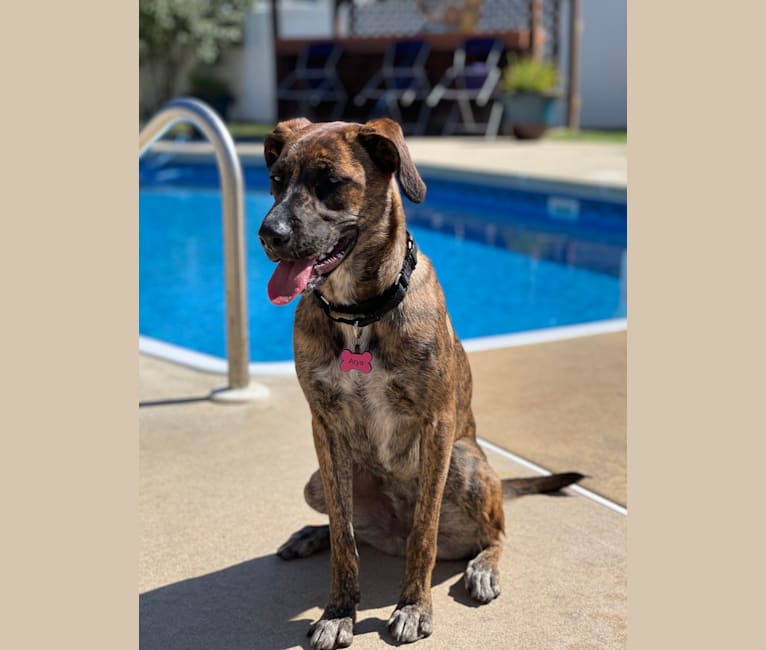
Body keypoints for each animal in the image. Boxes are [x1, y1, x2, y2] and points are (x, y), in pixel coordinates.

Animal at [260, 117, 584, 648]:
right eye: (275, 179)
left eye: (331, 182)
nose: (269, 234)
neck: (360, 315)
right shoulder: (324, 427)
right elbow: (345, 535)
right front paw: (338, 611)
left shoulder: (437, 427)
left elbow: (424, 533)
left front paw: (413, 606)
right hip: (317, 481)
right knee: (350, 524)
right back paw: (311, 534)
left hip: (465, 460)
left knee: (495, 533)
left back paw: (482, 568)